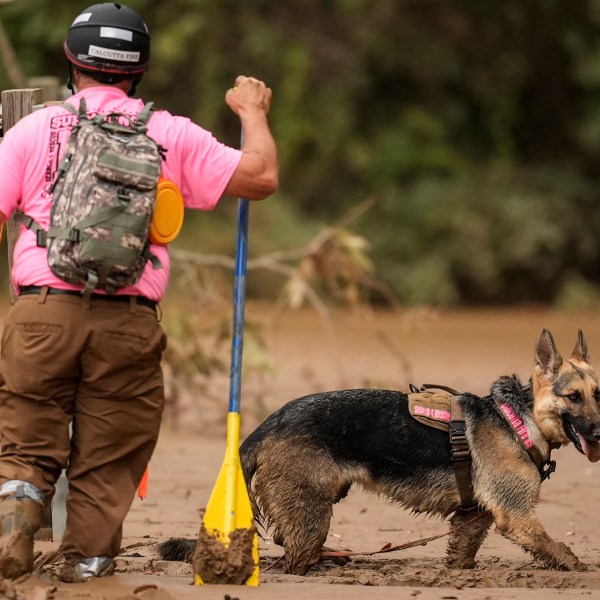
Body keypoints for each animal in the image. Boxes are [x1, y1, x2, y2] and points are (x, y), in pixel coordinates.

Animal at [232, 330, 600, 576]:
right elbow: (558, 549)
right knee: (294, 558)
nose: (599, 431)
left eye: (598, 394)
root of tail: (267, 425)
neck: (519, 419)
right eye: (573, 397)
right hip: (313, 515)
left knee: (283, 538)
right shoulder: (517, 516)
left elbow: (462, 554)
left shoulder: (472, 518)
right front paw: (578, 567)